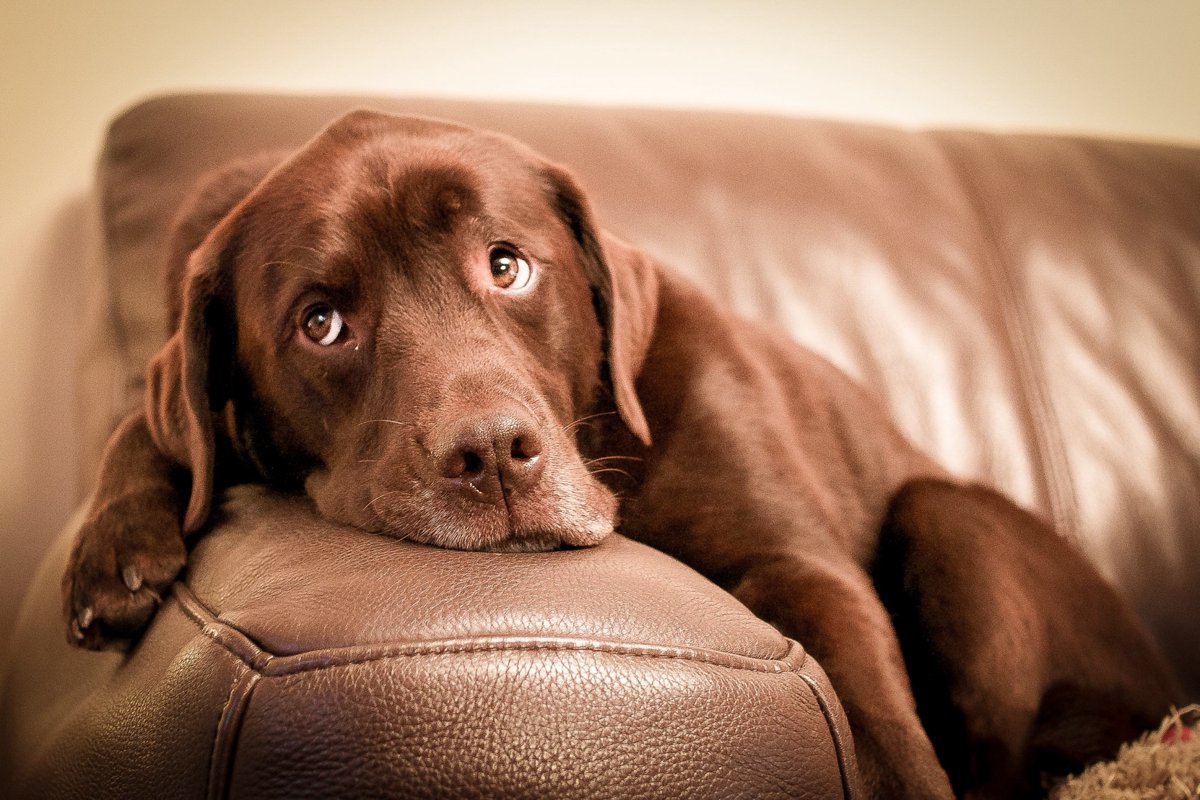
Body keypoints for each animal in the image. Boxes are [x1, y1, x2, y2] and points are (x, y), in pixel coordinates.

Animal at [60, 112, 1176, 800]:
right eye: (322, 322)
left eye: (508, 265)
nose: (493, 454)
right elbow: (152, 420)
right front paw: (112, 551)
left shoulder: (803, 567)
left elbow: (880, 726)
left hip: (948, 517)